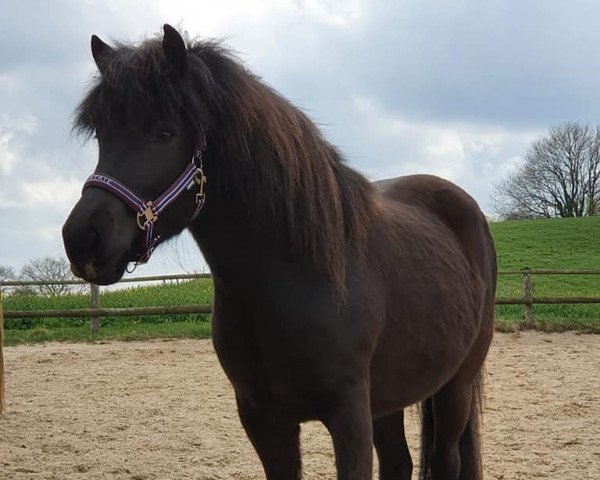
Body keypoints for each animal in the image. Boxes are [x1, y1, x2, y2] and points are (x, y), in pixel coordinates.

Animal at [62, 26, 496, 480]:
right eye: (102, 134)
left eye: (164, 133)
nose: (83, 239)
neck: (294, 279)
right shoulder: (264, 419)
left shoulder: (349, 417)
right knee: (399, 461)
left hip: (456, 386)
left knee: (447, 458)